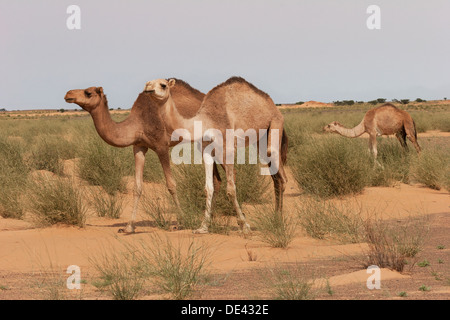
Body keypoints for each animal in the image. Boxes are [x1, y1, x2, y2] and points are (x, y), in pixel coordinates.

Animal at [65, 78, 213, 232]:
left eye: (88, 93)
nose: (68, 94)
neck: (138, 123)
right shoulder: (139, 147)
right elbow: (137, 187)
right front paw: (128, 226)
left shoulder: (161, 146)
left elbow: (171, 185)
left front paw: (182, 221)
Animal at [144, 76, 288, 234]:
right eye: (147, 83)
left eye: (163, 85)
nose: (148, 90)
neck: (206, 120)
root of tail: (273, 105)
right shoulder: (206, 149)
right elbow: (209, 187)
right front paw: (203, 227)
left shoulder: (228, 147)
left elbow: (231, 189)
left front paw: (244, 225)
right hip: (260, 138)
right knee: (275, 177)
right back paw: (275, 217)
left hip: (275, 123)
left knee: (280, 174)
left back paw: (279, 222)